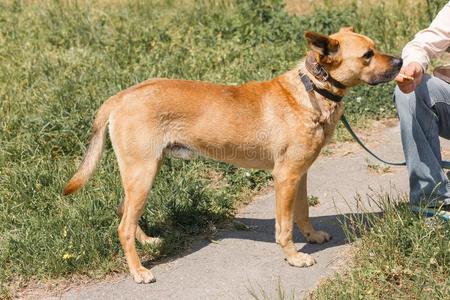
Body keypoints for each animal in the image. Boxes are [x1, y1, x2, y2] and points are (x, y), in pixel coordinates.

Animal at [62, 28, 400, 284]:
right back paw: (138, 271)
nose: (400, 61)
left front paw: (313, 236)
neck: (312, 90)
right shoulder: (285, 177)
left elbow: (302, 212)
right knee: (123, 226)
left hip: (142, 173)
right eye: (367, 55)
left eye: (375, 48)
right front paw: (293, 257)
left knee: (125, 213)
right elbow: (284, 226)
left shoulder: (300, 174)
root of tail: (120, 97)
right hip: (142, 174)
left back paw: (147, 242)